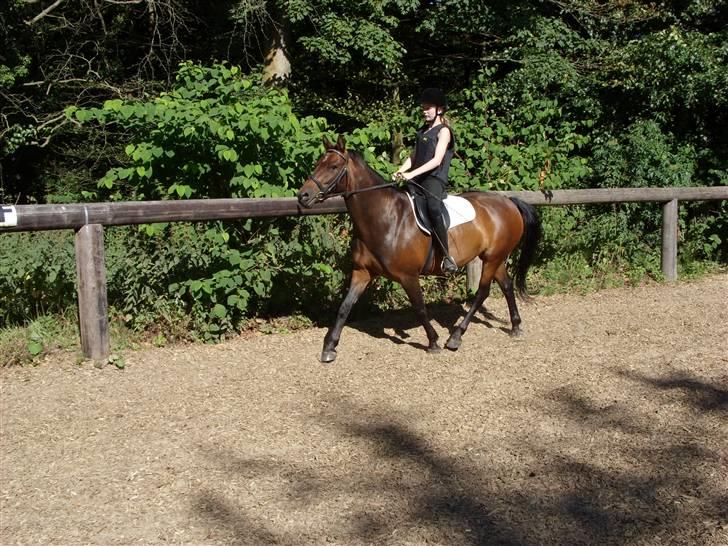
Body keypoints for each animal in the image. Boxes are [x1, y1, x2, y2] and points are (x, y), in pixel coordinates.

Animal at [296, 135, 540, 362]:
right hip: (495, 257)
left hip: (492, 258)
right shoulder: (362, 272)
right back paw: (516, 326)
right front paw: (329, 347)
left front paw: (433, 341)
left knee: (482, 292)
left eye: (333, 167)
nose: (303, 196)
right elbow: (344, 307)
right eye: (318, 163)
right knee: (506, 285)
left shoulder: (408, 276)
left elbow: (420, 307)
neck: (384, 218)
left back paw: (456, 337)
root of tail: (509, 202)